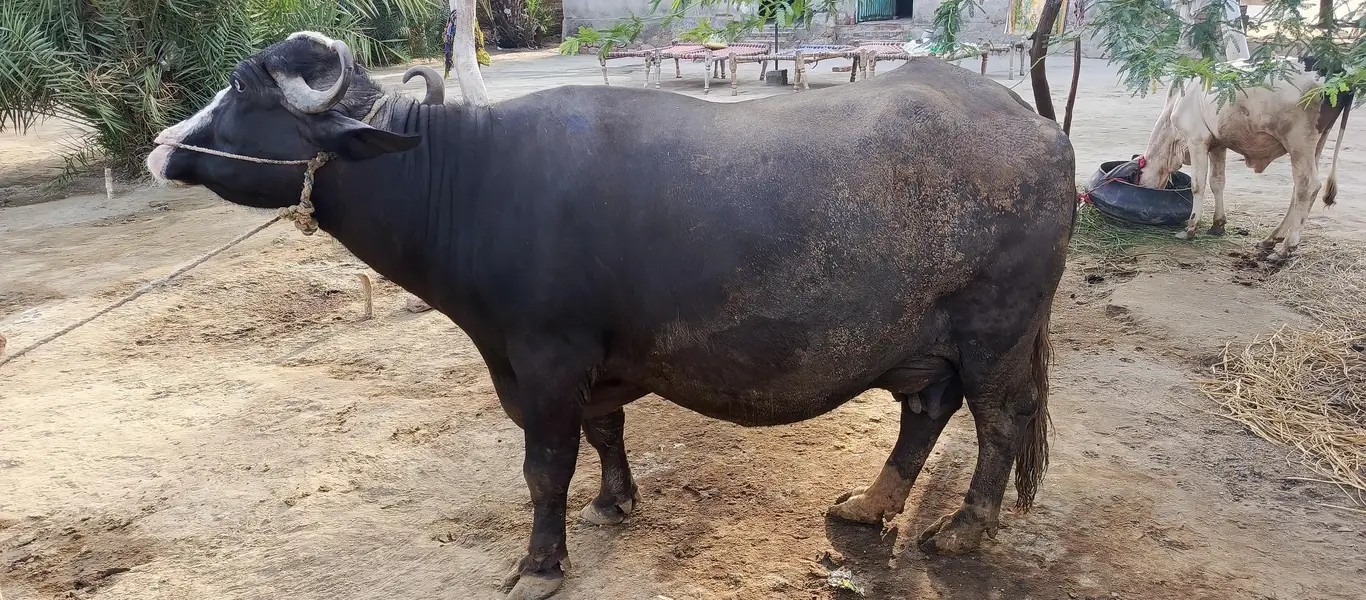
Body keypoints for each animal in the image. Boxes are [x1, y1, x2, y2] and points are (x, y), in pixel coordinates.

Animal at [145, 31, 1076, 600]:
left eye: (241, 89)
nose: (159, 147)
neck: (466, 181)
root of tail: (1041, 130)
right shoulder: (585, 363)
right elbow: (604, 433)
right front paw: (614, 501)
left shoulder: (544, 357)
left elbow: (544, 466)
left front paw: (540, 561)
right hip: (928, 342)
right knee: (925, 410)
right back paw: (870, 504)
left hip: (997, 335)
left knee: (997, 421)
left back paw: (962, 531)